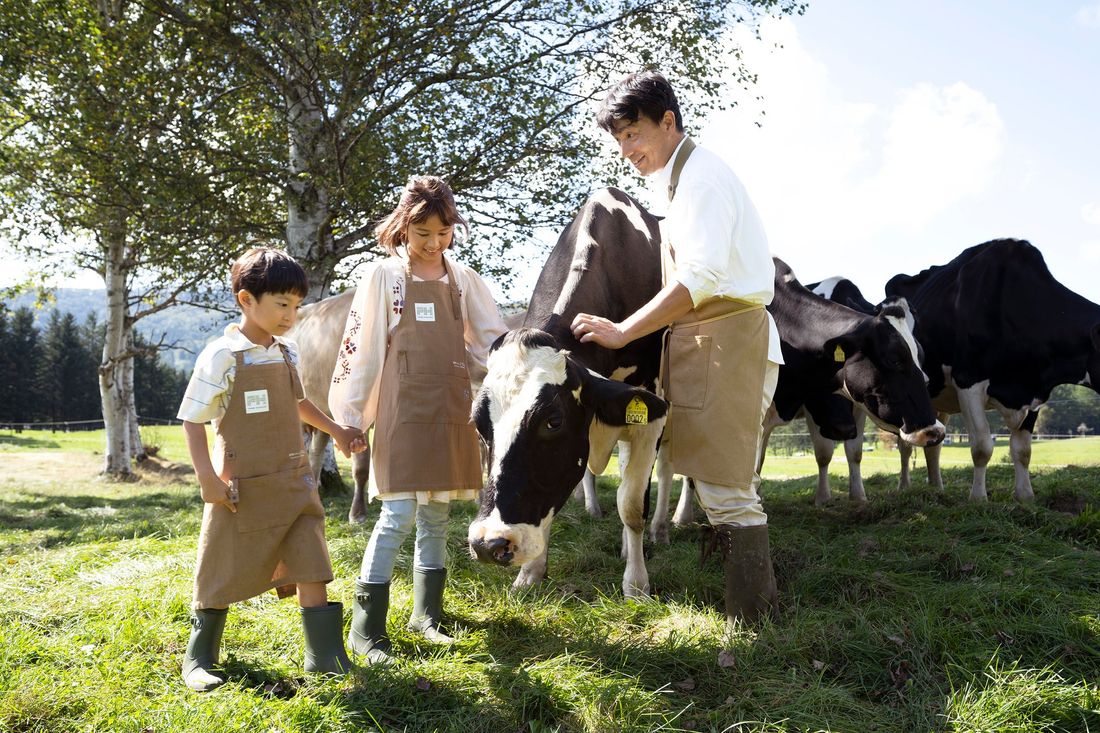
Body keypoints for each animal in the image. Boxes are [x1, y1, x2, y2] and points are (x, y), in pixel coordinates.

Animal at [466, 187, 664, 594]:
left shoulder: (651, 412)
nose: (489, 544)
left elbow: (633, 504)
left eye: (553, 421)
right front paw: (530, 573)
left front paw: (637, 584)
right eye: (479, 424)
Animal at [884, 236, 1100, 499]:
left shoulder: (1036, 392)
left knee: (932, 445)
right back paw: (904, 486)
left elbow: (1023, 450)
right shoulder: (968, 381)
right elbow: (981, 447)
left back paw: (937, 487)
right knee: (905, 445)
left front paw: (1025, 496)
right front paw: (978, 498)